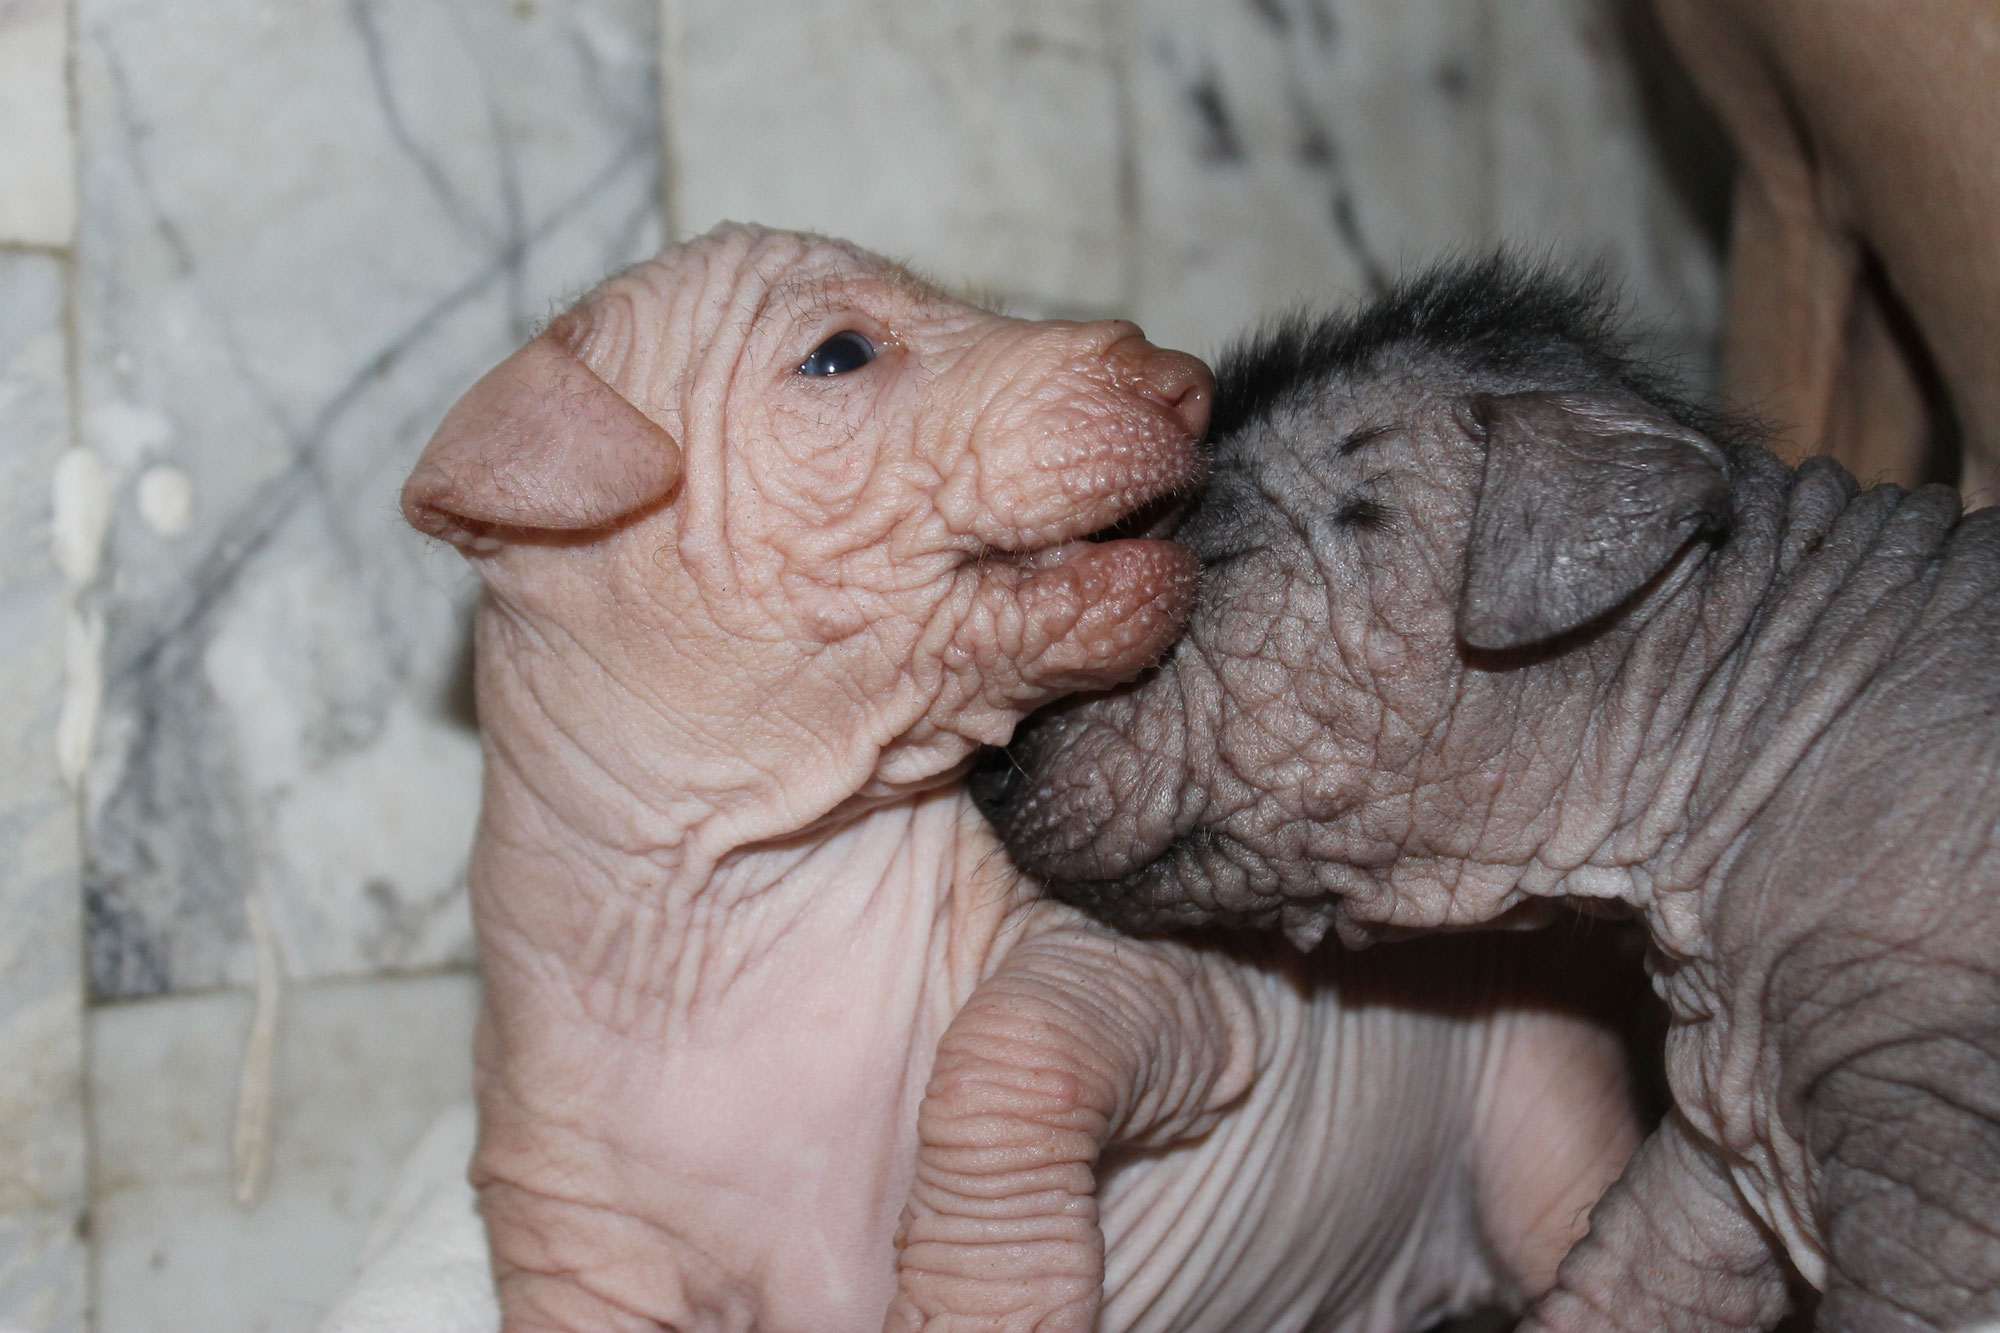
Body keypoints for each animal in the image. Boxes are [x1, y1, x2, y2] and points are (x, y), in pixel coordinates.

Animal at [402, 223, 1640, 1320]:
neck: (726, 897)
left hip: (1541, 1098)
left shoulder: (1176, 974)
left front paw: (984, 1295)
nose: (1183, 380)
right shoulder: (569, 1241)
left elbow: (1010, 1054)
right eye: (837, 354)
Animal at [976, 256, 2000, 1320]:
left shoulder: (1936, 1159)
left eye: (1202, 565)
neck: (1748, 708)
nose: (988, 764)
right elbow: (1623, 1280)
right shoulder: (1722, 1135)